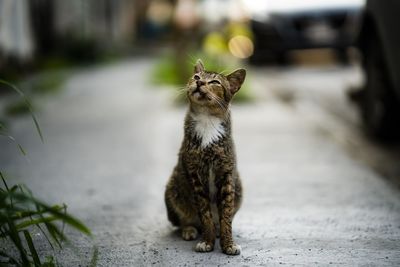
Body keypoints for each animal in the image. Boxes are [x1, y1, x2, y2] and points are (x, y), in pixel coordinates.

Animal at [164, 59, 245, 256]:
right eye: (196, 76)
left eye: (215, 82)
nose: (199, 82)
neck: (207, 120)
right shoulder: (195, 175)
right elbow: (205, 213)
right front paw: (207, 242)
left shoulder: (227, 173)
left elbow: (226, 214)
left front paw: (228, 243)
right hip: (172, 187)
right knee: (186, 220)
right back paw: (190, 229)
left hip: (239, 186)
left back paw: (217, 231)